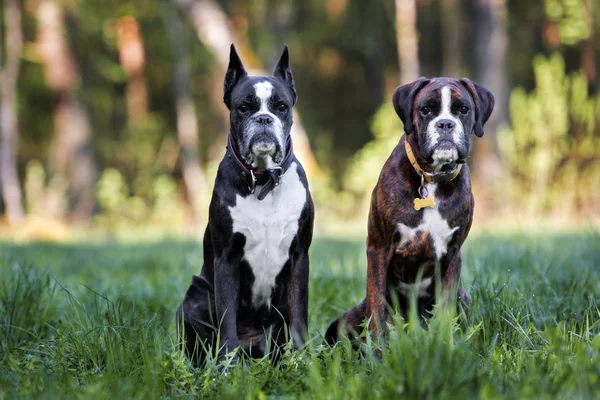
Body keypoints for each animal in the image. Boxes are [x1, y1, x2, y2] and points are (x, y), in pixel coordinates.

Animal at [326, 77, 494, 344]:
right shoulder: (379, 248)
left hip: (463, 298)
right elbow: (377, 307)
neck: (431, 179)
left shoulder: (453, 254)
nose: (445, 124)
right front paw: (377, 350)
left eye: (463, 109)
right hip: (345, 321)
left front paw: (444, 344)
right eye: (425, 110)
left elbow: (445, 308)